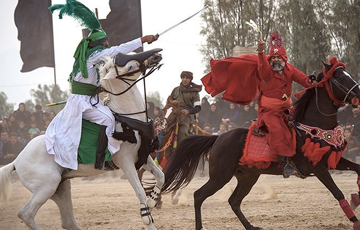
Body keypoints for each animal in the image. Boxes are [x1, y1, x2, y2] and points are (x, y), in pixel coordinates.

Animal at [0, 47, 165, 229]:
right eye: (129, 66)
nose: (156, 56)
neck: (128, 118)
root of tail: (16, 161)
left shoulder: (142, 156)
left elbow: (160, 176)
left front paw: (153, 201)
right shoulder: (126, 162)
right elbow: (140, 192)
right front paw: (147, 217)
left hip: (61, 188)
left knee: (68, 222)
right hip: (47, 187)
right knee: (26, 214)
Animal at [160, 59, 360, 230]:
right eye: (341, 78)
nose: (358, 92)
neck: (313, 126)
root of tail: (218, 138)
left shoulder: (332, 159)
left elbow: (357, 169)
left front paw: (356, 198)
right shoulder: (318, 167)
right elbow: (338, 193)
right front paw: (355, 220)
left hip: (248, 176)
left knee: (234, 201)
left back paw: (250, 226)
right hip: (220, 176)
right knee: (199, 196)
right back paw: (200, 225)